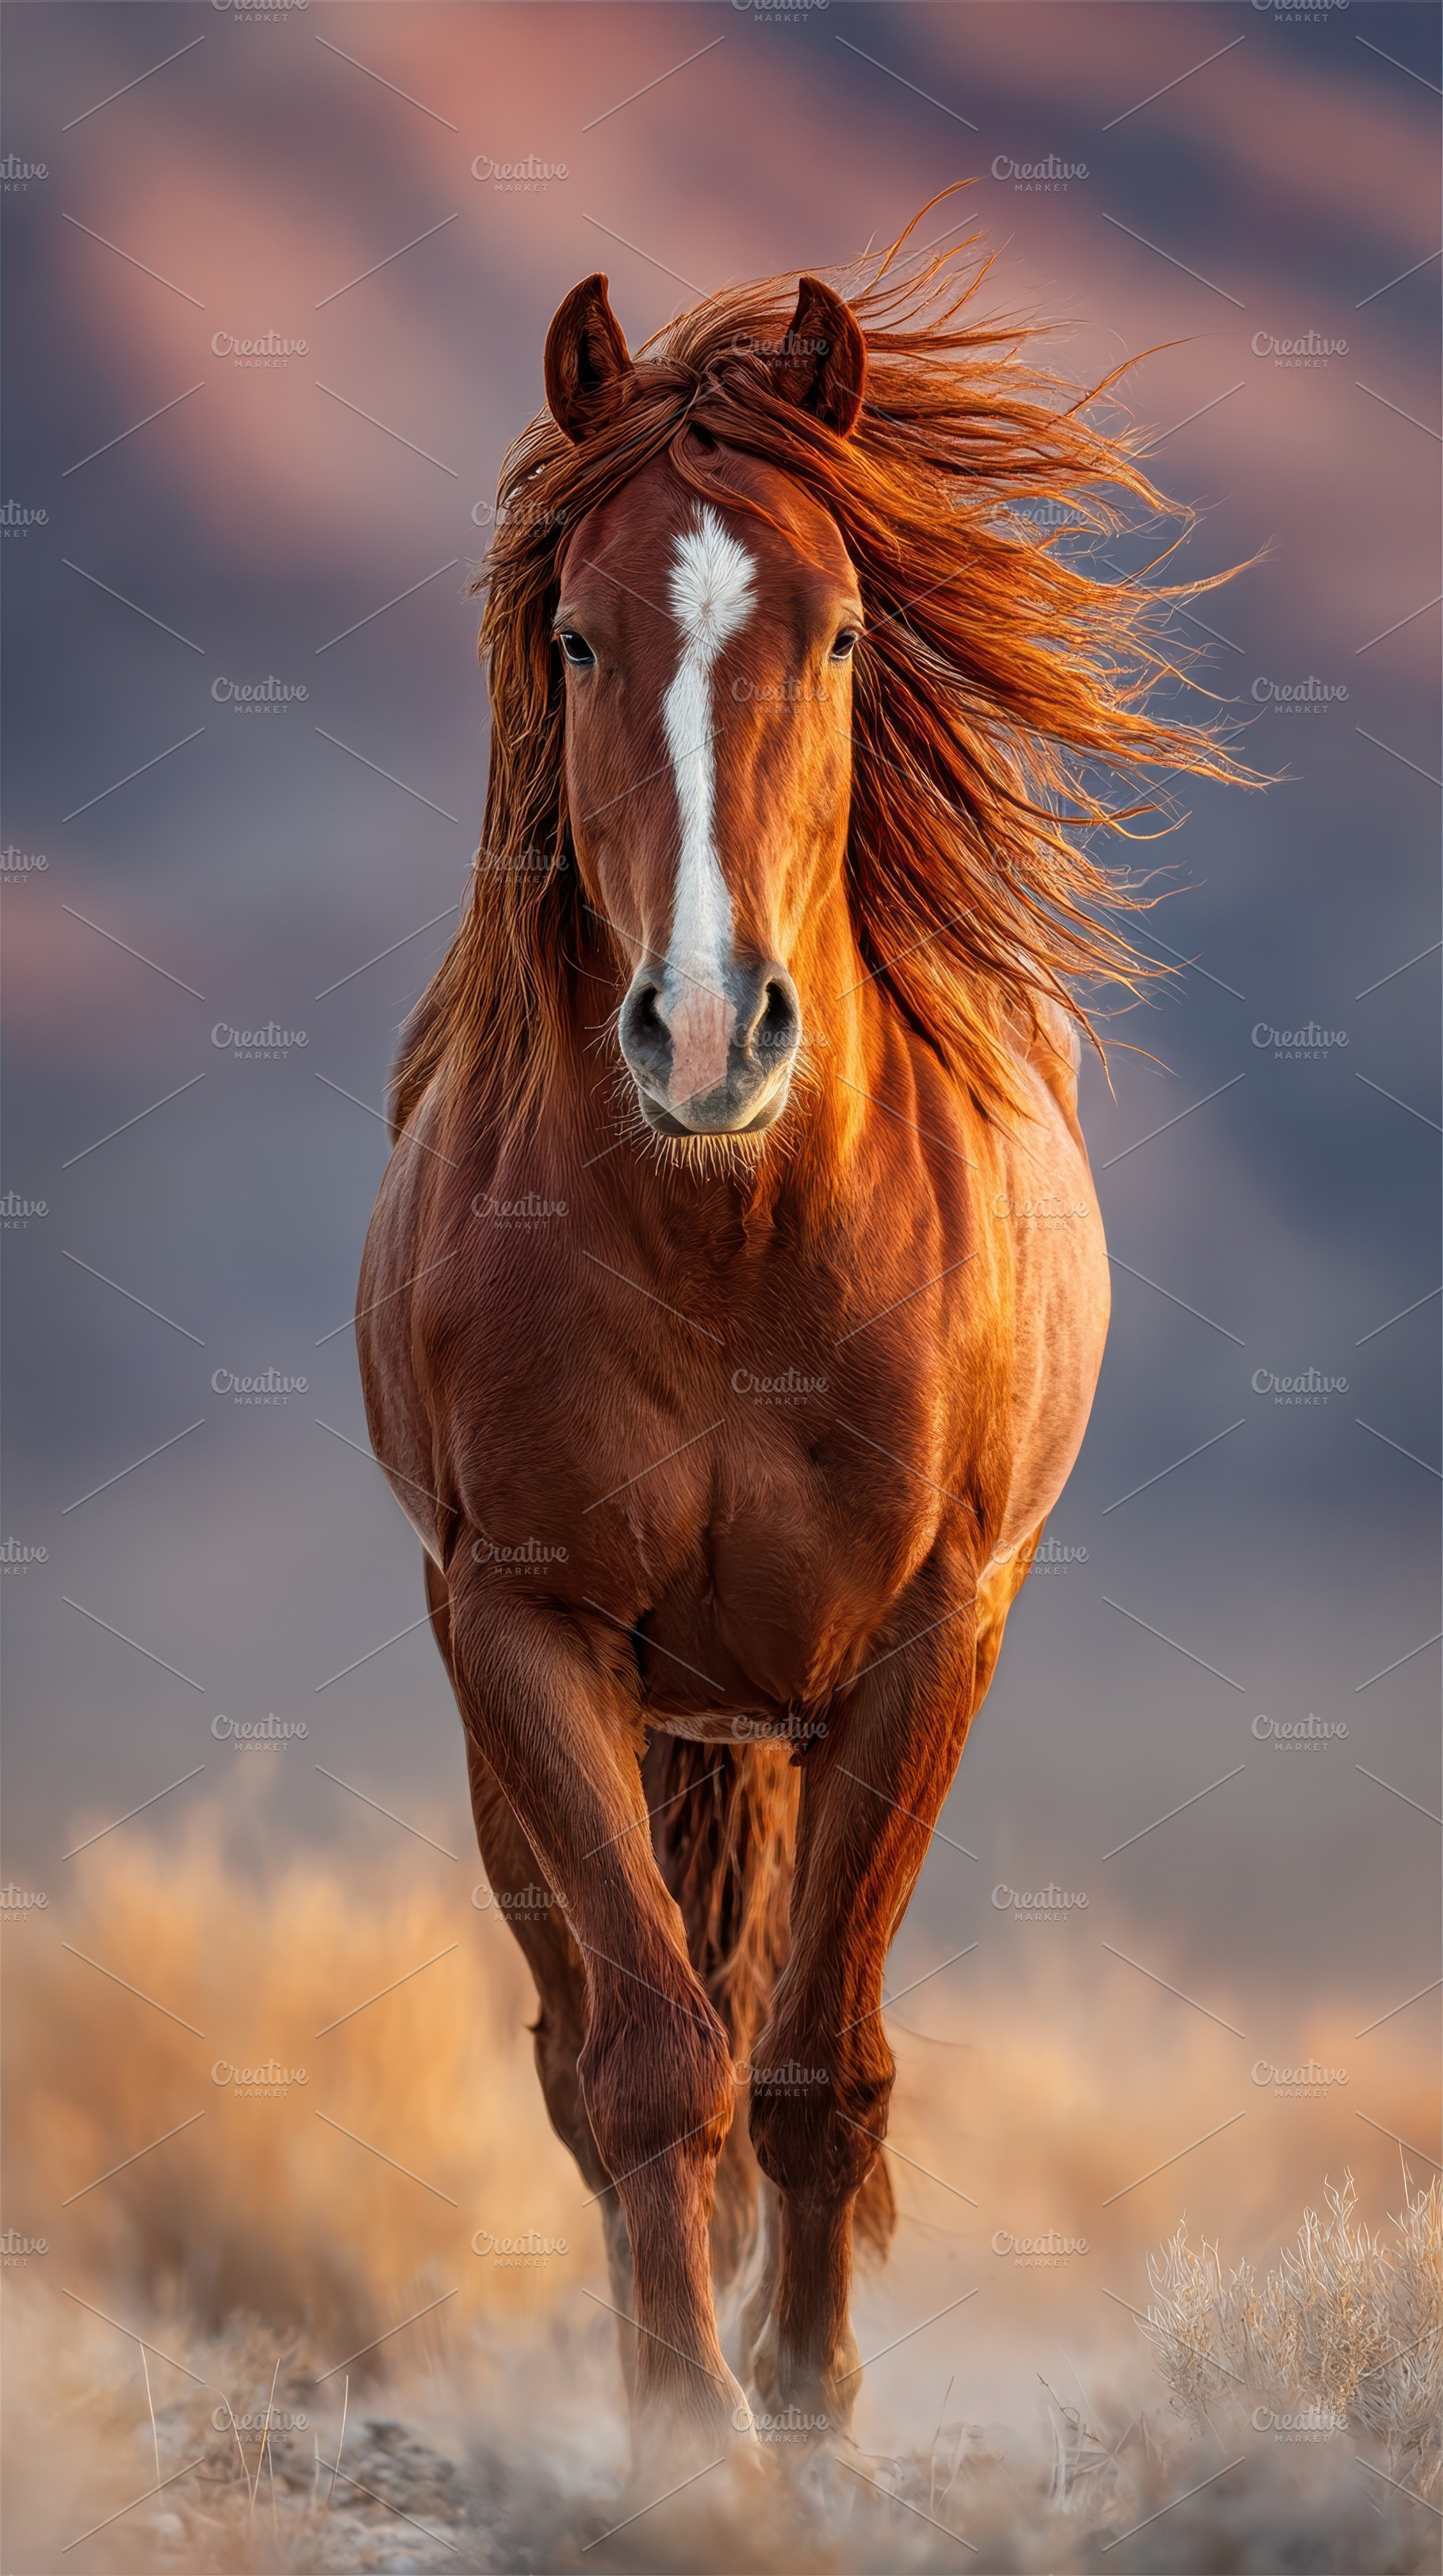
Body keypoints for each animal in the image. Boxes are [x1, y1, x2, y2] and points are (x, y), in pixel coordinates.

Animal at [357, 220, 1239, 2468]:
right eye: (576, 638)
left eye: (841, 634)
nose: (700, 1028)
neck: (729, 1245)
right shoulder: (521, 1628)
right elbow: (653, 2059)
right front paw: (690, 2436)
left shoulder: (929, 1638)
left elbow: (819, 2062)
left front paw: (810, 2409)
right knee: (587, 2043)